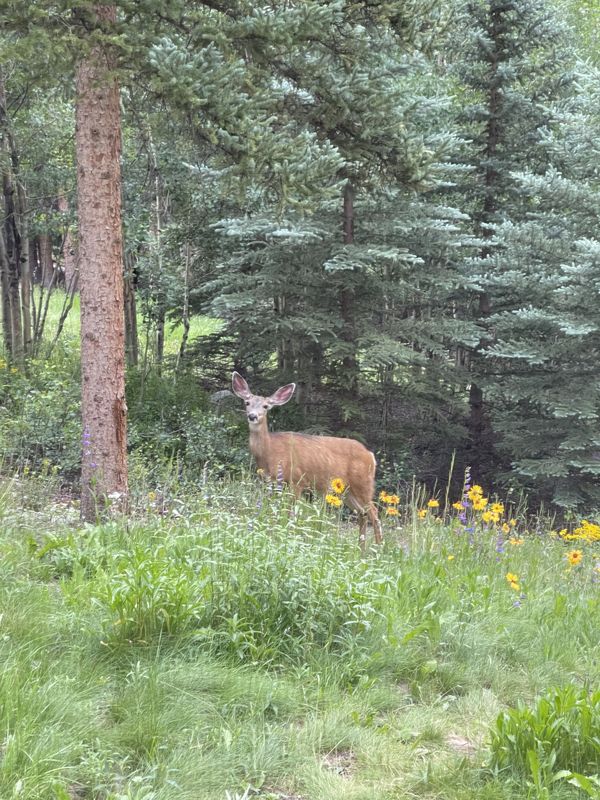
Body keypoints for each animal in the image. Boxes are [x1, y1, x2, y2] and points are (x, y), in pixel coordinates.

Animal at [232, 371, 383, 551]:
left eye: (266, 406)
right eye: (247, 402)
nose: (252, 416)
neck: (270, 452)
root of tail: (370, 455)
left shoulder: (297, 480)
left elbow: (290, 514)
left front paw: (286, 537)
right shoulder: (269, 482)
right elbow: (272, 511)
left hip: (363, 483)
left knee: (374, 512)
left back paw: (379, 549)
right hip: (347, 490)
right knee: (362, 513)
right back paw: (361, 549)